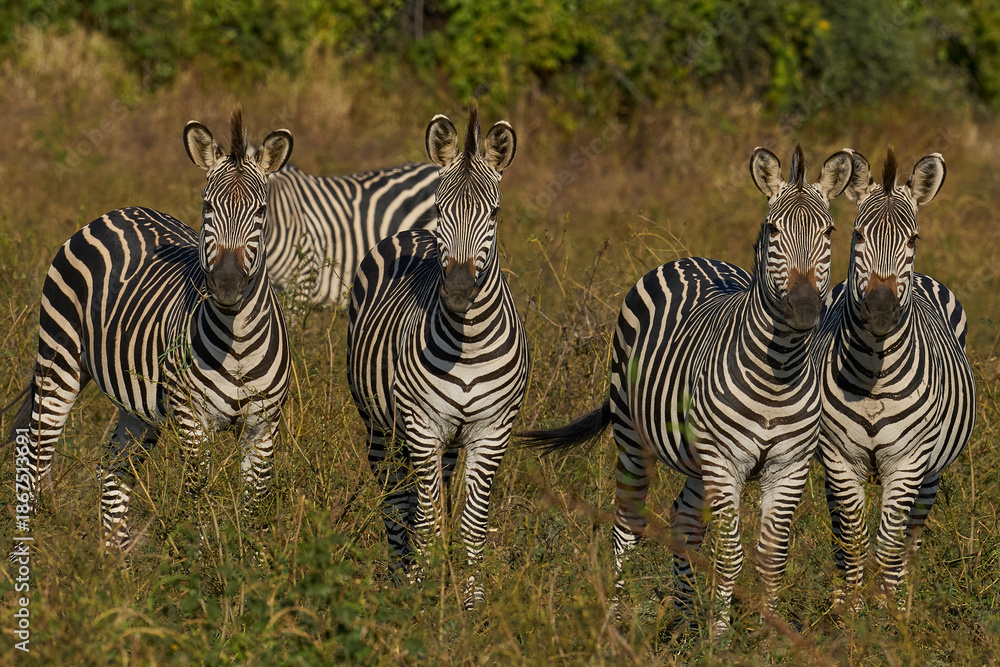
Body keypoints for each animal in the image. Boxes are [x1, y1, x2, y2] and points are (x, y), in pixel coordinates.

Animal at [8, 107, 293, 554]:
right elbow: (199, 499)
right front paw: (203, 563)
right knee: (36, 456)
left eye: (261, 211)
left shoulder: (263, 428)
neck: (238, 340)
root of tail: (118, 211)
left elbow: (252, 511)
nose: (227, 286)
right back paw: (30, 553)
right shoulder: (194, 422)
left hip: (137, 406)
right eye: (207, 207)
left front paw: (249, 565)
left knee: (112, 470)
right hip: (59, 360)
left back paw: (116, 562)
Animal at [346, 101, 527, 610]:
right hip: (382, 428)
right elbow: (426, 520)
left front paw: (471, 600)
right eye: (442, 209)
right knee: (396, 499)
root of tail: (412, 233)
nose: (460, 292)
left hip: (446, 440)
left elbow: (470, 524)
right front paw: (420, 593)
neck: (469, 341)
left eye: (494, 212)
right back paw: (398, 572)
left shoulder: (492, 432)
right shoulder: (422, 425)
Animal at [521, 146, 856, 634]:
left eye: (829, 231)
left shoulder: (789, 466)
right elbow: (731, 556)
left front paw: (768, 637)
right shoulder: (726, 463)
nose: (804, 308)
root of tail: (687, 259)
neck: (779, 369)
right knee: (629, 521)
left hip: (698, 460)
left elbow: (772, 559)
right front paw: (720, 636)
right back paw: (617, 618)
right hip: (634, 435)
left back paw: (682, 622)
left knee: (684, 521)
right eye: (774, 229)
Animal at [812, 148, 976, 609]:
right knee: (842, 532)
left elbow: (888, 543)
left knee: (911, 538)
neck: (874, 374)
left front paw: (889, 610)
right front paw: (853, 609)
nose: (882, 310)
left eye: (913, 240)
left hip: (932, 471)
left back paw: (905, 593)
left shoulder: (908, 462)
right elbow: (853, 538)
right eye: (858, 235)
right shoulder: (839, 459)